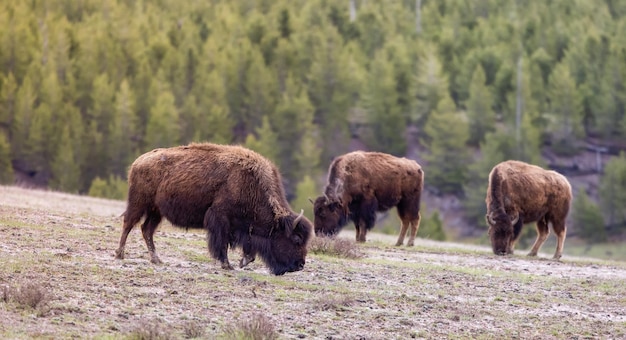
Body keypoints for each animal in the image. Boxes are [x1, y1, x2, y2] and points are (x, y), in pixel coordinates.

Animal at [113, 142, 312, 274]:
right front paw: (227, 265)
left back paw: (156, 259)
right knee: (128, 224)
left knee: (146, 229)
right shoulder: (221, 219)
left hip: (156, 211)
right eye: (296, 239)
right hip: (139, 203)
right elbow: (222, 243)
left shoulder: (243, 228)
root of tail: (138, 161)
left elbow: (248, 248)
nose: (300, 265)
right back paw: (120, 254)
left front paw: (243, 261)